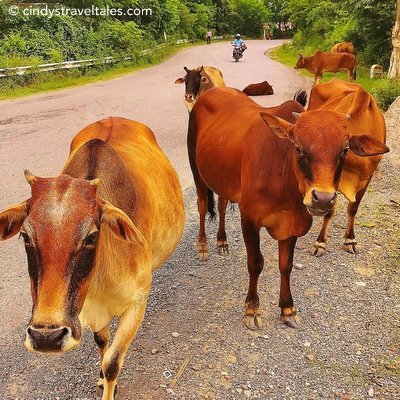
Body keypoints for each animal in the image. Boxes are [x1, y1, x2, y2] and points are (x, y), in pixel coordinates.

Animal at [0, 117, 184, 398]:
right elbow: (102, 343)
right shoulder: (90, 309)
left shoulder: (137, 303)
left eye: (91, 236)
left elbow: (112, 363)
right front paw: (100, 379)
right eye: (25, 235)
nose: (46, 337)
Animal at [306, 79, 388, 256]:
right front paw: (320, 243)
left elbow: (353, 209)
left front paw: (350, 239)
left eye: (343, 149)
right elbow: (330, 210)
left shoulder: (366, 179)